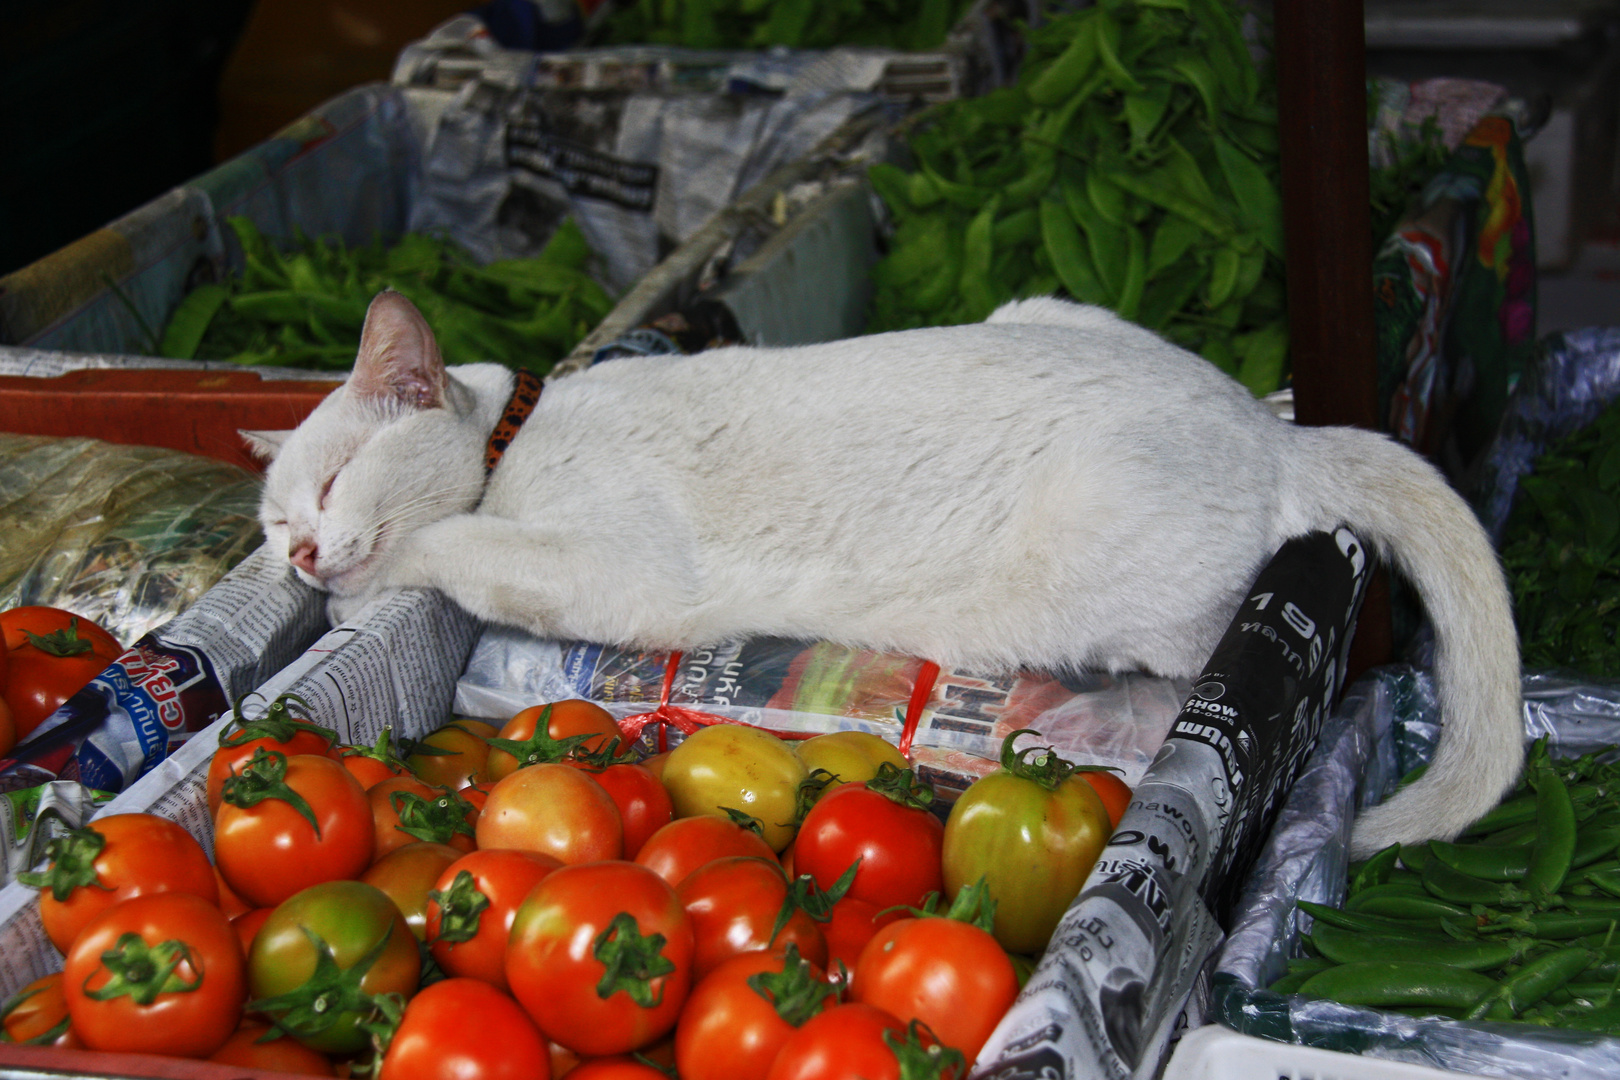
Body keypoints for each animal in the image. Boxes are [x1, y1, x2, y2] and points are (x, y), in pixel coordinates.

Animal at [249, 291, 1516, 854]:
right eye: (269, 523)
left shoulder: (618, 573)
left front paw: (367, 578)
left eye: (333, 483)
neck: (515, 440)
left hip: (1116, 599)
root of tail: (1275, 438)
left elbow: (455, 548)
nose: (299, 554)